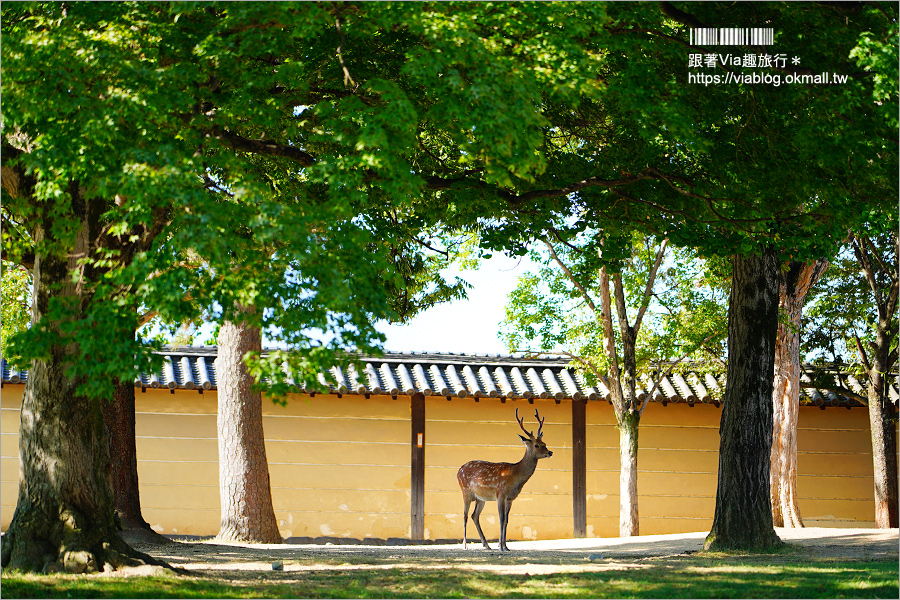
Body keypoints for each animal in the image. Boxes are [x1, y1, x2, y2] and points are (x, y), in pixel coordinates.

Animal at [460, 406, 552, 552]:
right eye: (536, 445)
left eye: (544, 442)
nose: (550, 452)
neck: (515, 476)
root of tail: (458, 470)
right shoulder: (501, 493)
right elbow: (501, 518)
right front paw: (501, 546)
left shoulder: (511, 498)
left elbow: (507, 520)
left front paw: (505, 546)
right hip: (465, 491)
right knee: (465, 515)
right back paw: (465, 545)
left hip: (481, 498)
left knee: (475, 515)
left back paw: (486, 545)